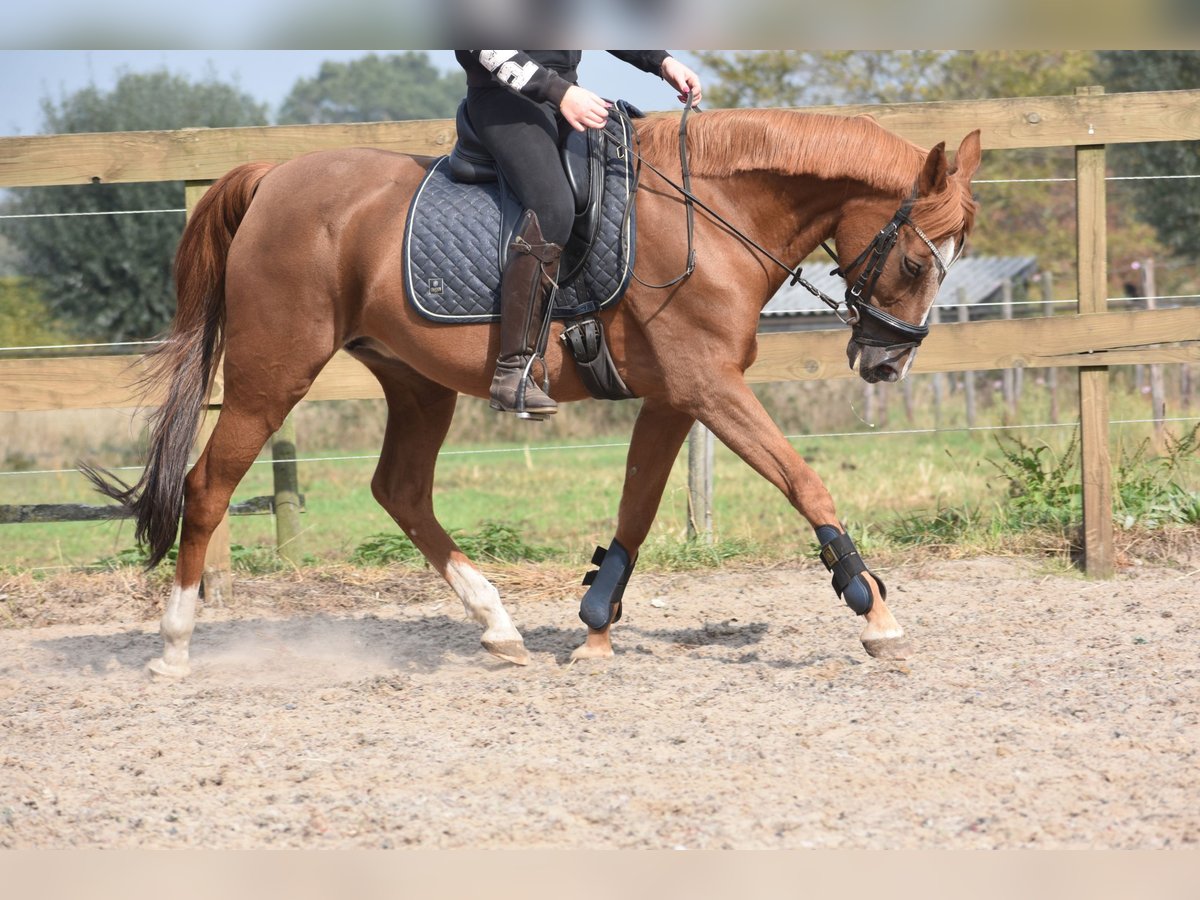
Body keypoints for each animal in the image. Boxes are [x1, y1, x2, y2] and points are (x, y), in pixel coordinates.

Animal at [86, 106, 981, 677]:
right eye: (913, 262)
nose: (886, 366)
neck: (709, 214)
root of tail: (274, 178)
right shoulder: (709, 388)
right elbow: (803, 481)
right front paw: (873, 608)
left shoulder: (674, 397)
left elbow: (636, 509)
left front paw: (595, 628)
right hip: (272, 376)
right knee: (208, 486)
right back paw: (174, 644)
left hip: (416, 384)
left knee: (400, 490)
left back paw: (498, 625)